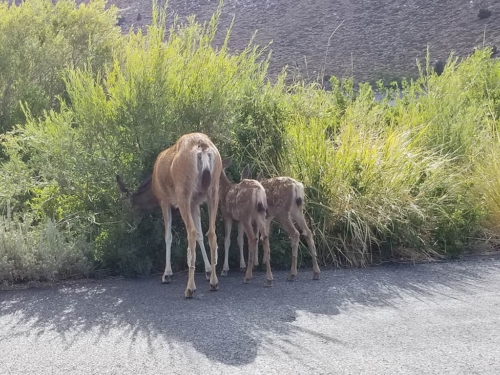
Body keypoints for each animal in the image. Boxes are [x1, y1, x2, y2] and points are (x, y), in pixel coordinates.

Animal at [116, 132, 222, 300]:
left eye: (129, 208)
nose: (130, 226)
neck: (153, 186)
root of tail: (203, 147)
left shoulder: (164, 201)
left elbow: (168, 236)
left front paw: (167, 274)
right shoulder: (195, 202)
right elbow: (200, 235)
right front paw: (207, 270)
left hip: (183, 193)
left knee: (191, 233)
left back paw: (190, 288)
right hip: (213, 190)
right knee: (211, 232)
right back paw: (214, 282)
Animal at [219, 159, 274, 288]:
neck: (224, 190)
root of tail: (258, 192)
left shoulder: (227, 215)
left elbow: (227, 240)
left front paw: (225, 269)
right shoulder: (238, 220)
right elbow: (239, 240)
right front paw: (242, 266)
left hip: (246, 215)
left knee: (253, 238)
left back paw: (248, 277)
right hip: (259, 214)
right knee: (264, 237)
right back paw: (269, 278)